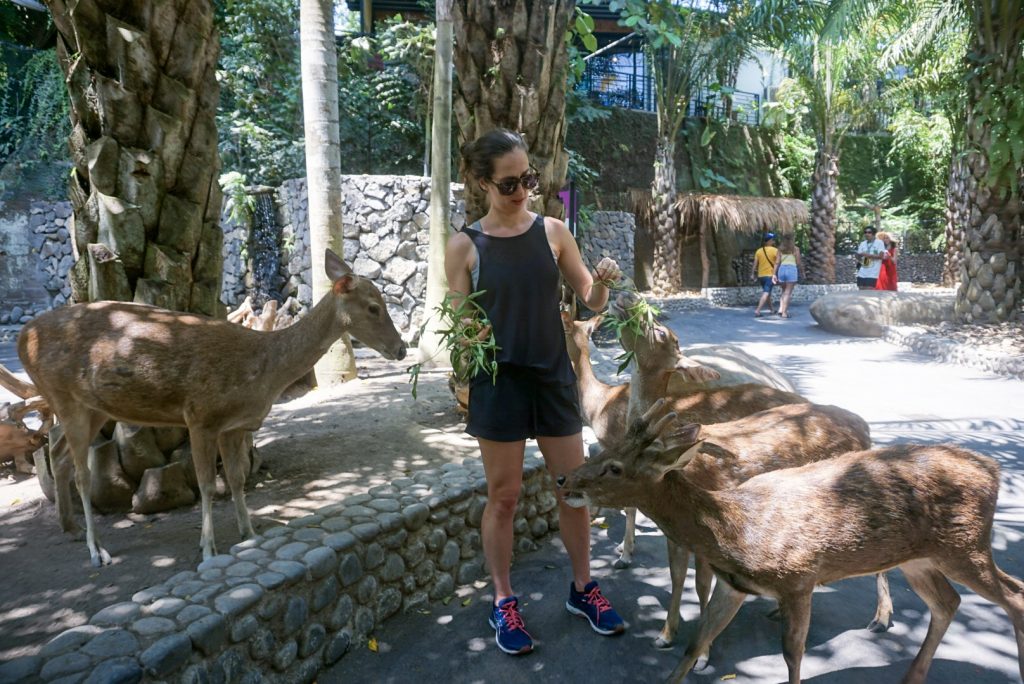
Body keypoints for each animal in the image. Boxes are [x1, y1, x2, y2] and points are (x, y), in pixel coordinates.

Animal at [18, 248, 405, 565]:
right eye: (374, 307)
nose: (400, 348)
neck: (263, 371)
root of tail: (23, 338)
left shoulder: (232, 425)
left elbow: (235, 479)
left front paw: (250, 533)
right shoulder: (200, 415)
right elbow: (206, 484)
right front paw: (208, 549)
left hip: (92, 406)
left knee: (57, 452)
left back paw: (69, 527)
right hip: (64, 395)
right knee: (81, 472)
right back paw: (96, 550)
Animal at [561, 401, 1024, 684]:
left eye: (615, 467)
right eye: (602, 450)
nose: (565, 479)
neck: (734, 530)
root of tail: (994, 471)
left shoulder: (799, 578)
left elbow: (792, 654)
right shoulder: (735, 585)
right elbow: (694, 645)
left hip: (965, 544)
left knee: (1014, 595)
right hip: (919, 558)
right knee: (948, 602)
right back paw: (911, 675)